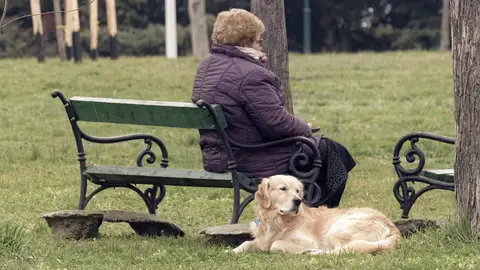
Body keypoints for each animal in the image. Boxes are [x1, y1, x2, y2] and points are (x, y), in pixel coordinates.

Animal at [232, 175, 402, 255]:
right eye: (283, 188)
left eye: (298, 191)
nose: (298, 201)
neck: (276, 221)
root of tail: (393, 227)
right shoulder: (261, 240)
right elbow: (247, 243)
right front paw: (231, 252)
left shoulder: (308, 241)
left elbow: (275, 244)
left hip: (337, 228)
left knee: (341, 251)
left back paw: (313, 252)